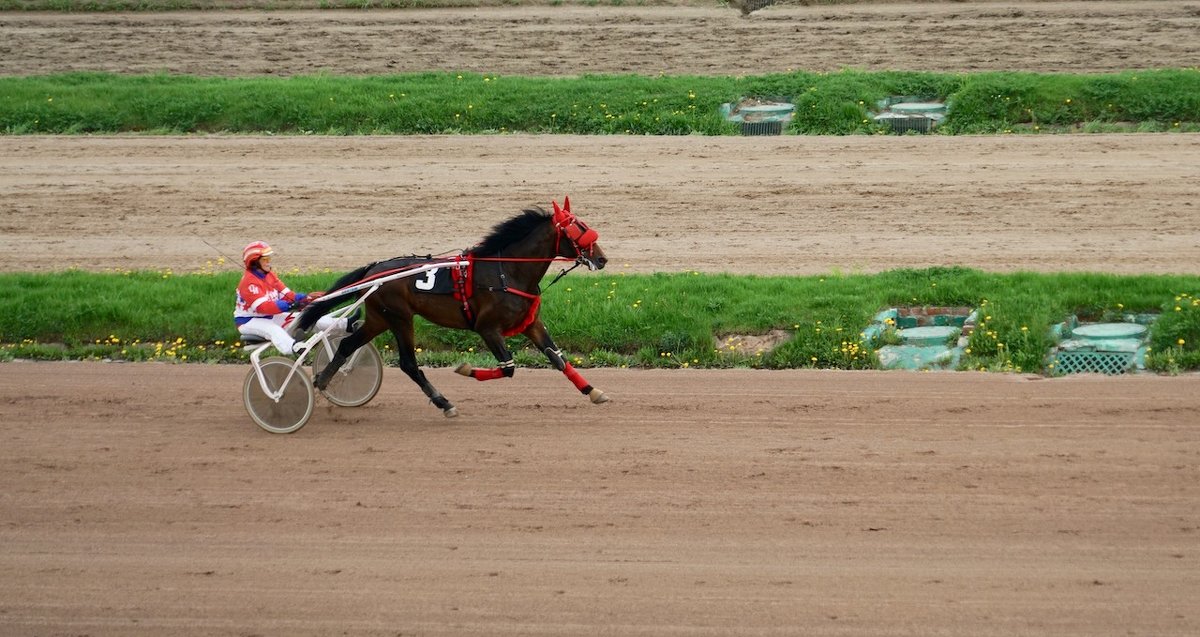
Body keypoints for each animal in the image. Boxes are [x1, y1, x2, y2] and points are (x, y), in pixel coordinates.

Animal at [291, 199, 609, 419]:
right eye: (577, 228)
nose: (602, 258)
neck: (507, 272)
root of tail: (374, 268)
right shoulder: (487, 328)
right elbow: (508, 368)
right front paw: (465, 369)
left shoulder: (531, 324)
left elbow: (558, 359)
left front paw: (593, 391)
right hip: (400, 317)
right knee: (408, 363)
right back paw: (443, 403)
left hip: (379, 318)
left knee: (347, 345)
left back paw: (322, 381)